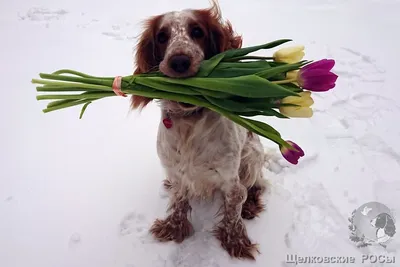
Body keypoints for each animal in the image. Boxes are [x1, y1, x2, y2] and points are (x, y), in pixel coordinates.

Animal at [131, 0, 268, 260]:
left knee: (256, 184)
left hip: (253, 155)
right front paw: (173, 229)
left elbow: (233, 210)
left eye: (197, 32)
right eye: (162, 36)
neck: (189, 123)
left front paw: (235, 242)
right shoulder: (177, 172)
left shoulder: (230, 179)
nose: (179, 61)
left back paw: (250, 205)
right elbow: (179, 201)